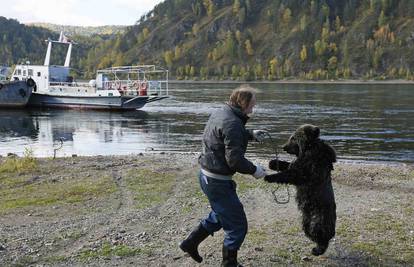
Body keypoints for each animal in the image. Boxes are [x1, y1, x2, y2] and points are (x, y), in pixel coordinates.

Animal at [266, 124, 336, 256]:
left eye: (293, 138)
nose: (283, 147)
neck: (307, 149)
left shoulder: (308, 169)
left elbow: (292, 174)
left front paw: (269, 176)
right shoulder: (298, 163)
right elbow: (288, 165)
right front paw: (272, 162)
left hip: (319, 215)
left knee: (319, 232)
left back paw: (317, 249)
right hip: (306, 217)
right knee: (308, 229)